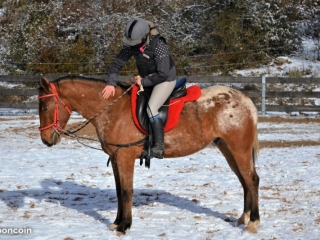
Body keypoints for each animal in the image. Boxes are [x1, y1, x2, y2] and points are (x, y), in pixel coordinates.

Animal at [38, 76, 260, 235]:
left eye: (46, 107)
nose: (46, 140)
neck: (113, 109)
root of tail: (245, 100)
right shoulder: (117, 159)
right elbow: (119, 192)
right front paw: (117, 223)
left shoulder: (125, 158)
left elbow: (126, 192)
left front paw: (124, 226)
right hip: (228, 149)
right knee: (244, 182)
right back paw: (244, 218)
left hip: (239, 149)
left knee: (251, 180)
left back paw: (253, 223)